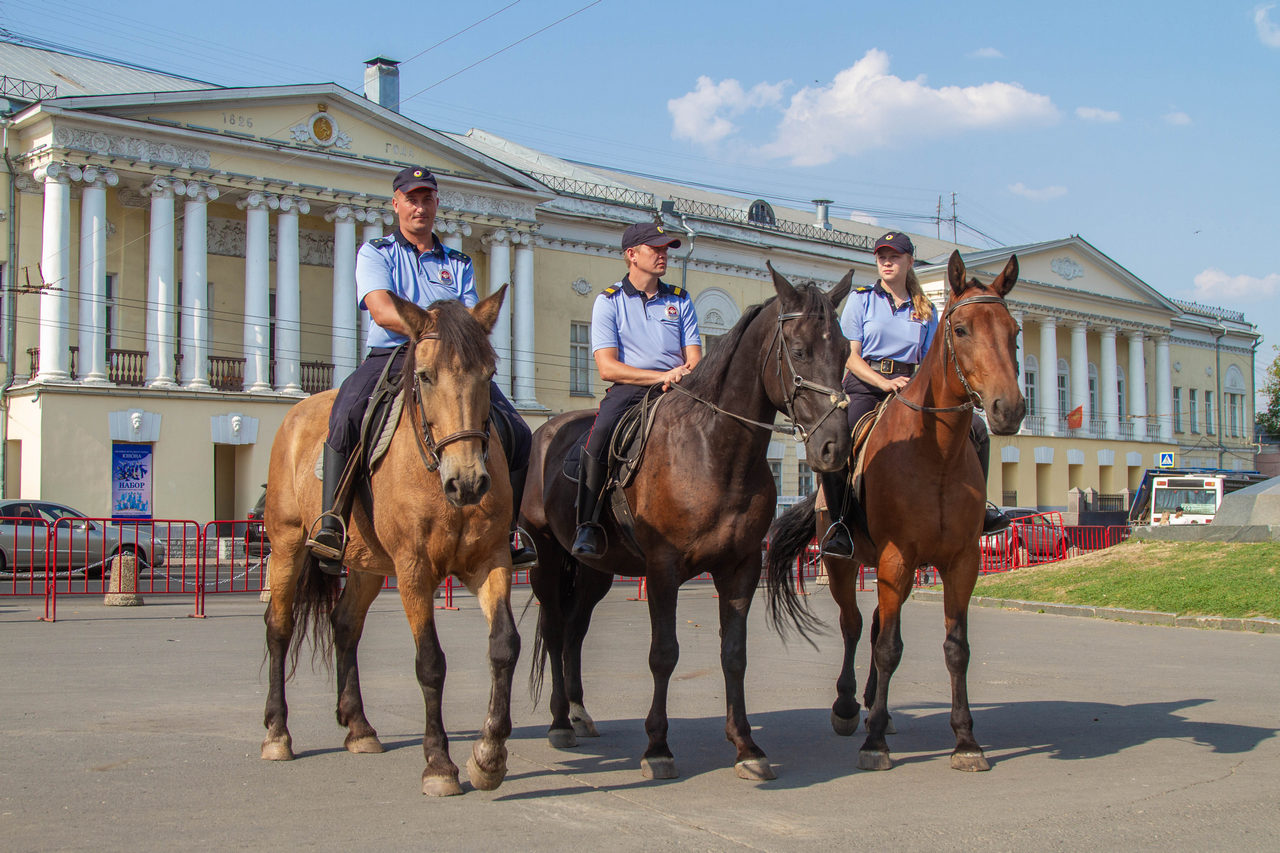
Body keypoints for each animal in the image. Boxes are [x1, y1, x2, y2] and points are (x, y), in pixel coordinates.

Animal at [259, 289, 519, 794]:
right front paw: (439, 763)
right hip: (287, 546)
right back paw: (278, 734)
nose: (468, 482)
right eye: (425, 375)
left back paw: (359, 727)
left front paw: (489, 756)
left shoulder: (491, 561)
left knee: (344, 625)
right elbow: (430, 662)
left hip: (365, 564)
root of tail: (296, 412)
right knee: (279, 628)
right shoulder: (413, 569)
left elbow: (503, 646)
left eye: (490, 374)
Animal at [519, 263, 849, 778]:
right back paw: (558, 723)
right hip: (548, 560)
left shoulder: (740, 568)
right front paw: (658, 747)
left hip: (595, 569)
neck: (712, 449)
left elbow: (734, 655)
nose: (834, 447)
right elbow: (664, 655)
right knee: (555, 631)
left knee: (574, 630)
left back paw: (578, 711)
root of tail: (546, 431)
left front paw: (746, 746)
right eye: (798, 352)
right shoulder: (662, 570)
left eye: (847, 351)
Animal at [762, 251, 1024, 768]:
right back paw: (849, 707)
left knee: (878, 624)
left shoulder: (962, 563)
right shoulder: (895, 558)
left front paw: (965, 740)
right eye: (960, 328)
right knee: (855, 626)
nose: (1009, 409)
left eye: (1014, 331)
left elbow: (956, 648)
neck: (935, 454)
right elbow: (886, 648)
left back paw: (869, 704)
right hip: (845, 566)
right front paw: (875, 742)